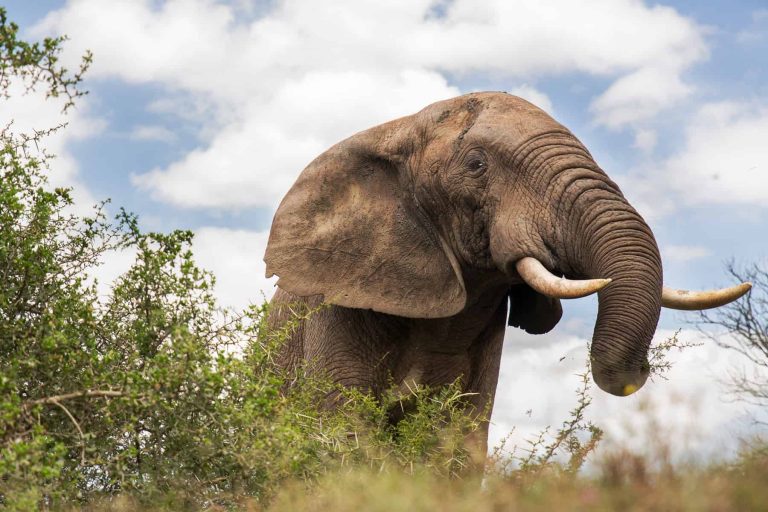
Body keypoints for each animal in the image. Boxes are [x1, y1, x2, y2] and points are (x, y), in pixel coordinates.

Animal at [263, 92, 750, 456]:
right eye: (476, 165)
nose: (642, 371)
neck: (399, 128)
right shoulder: (338, 305)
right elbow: (344, 432)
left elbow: (457, 441)